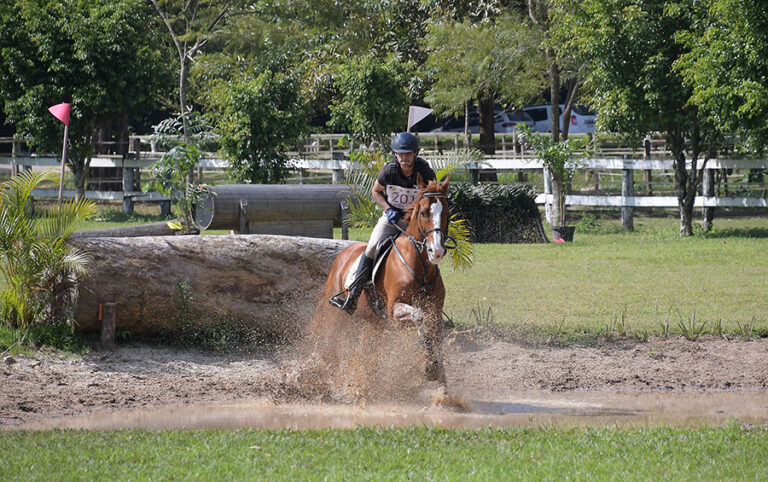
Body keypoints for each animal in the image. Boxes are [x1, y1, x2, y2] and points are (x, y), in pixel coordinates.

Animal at [310, 175, 450, 386]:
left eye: (447, 212)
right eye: (423, 212)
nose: (437, 251)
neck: (420, 266)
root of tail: (341, 255)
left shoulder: (434, 309)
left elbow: (434, 331)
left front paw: (435, 367)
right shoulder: (394, 310)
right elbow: (419, 317)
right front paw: (430, 367)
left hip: (374, 323)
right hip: (336, 314)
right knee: (330, 342)